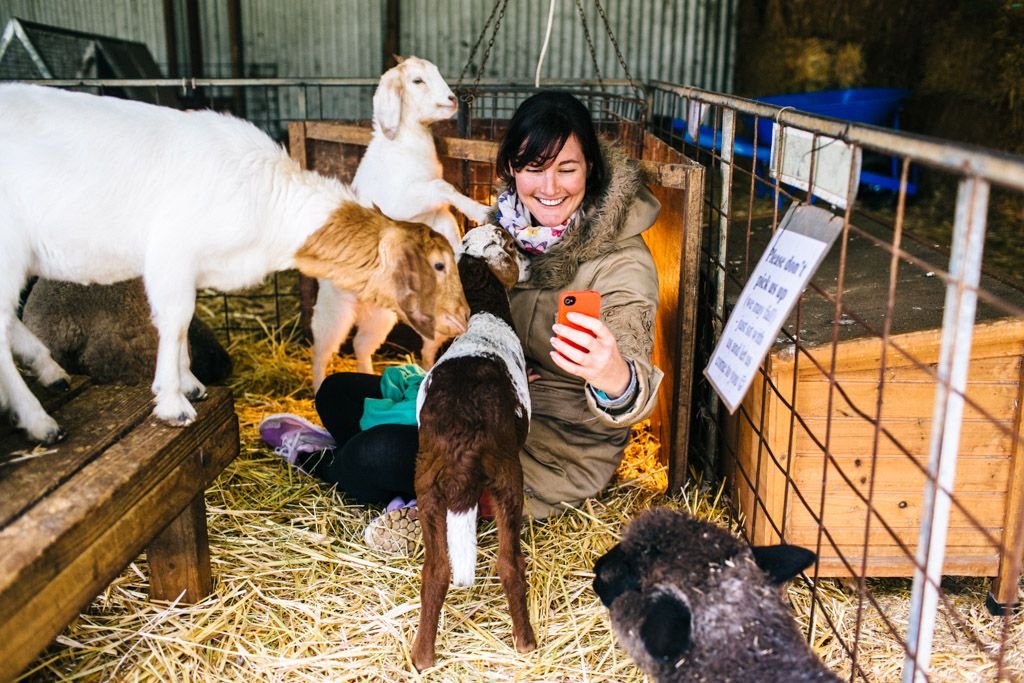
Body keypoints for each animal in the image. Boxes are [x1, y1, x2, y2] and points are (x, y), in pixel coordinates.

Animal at [307, 56, 491, 387]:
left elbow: (445, 214)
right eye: (417, 81)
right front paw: (480, 211)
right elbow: (443, 187)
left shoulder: (431, 211)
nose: (452, 100)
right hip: (334, 310)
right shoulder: (399, 204)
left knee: (361, 344)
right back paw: (317, 388)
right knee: (322, 351)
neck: (402, 148)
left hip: (382, 315)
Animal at [409, 224, 536, 671]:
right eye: (512, 247)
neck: (483, 314)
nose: (532, 262)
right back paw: (526, 643)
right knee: (509, 565)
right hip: (506, 476)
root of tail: (462, 437)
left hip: (427, 483)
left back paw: (422, 658)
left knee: (435, 571)